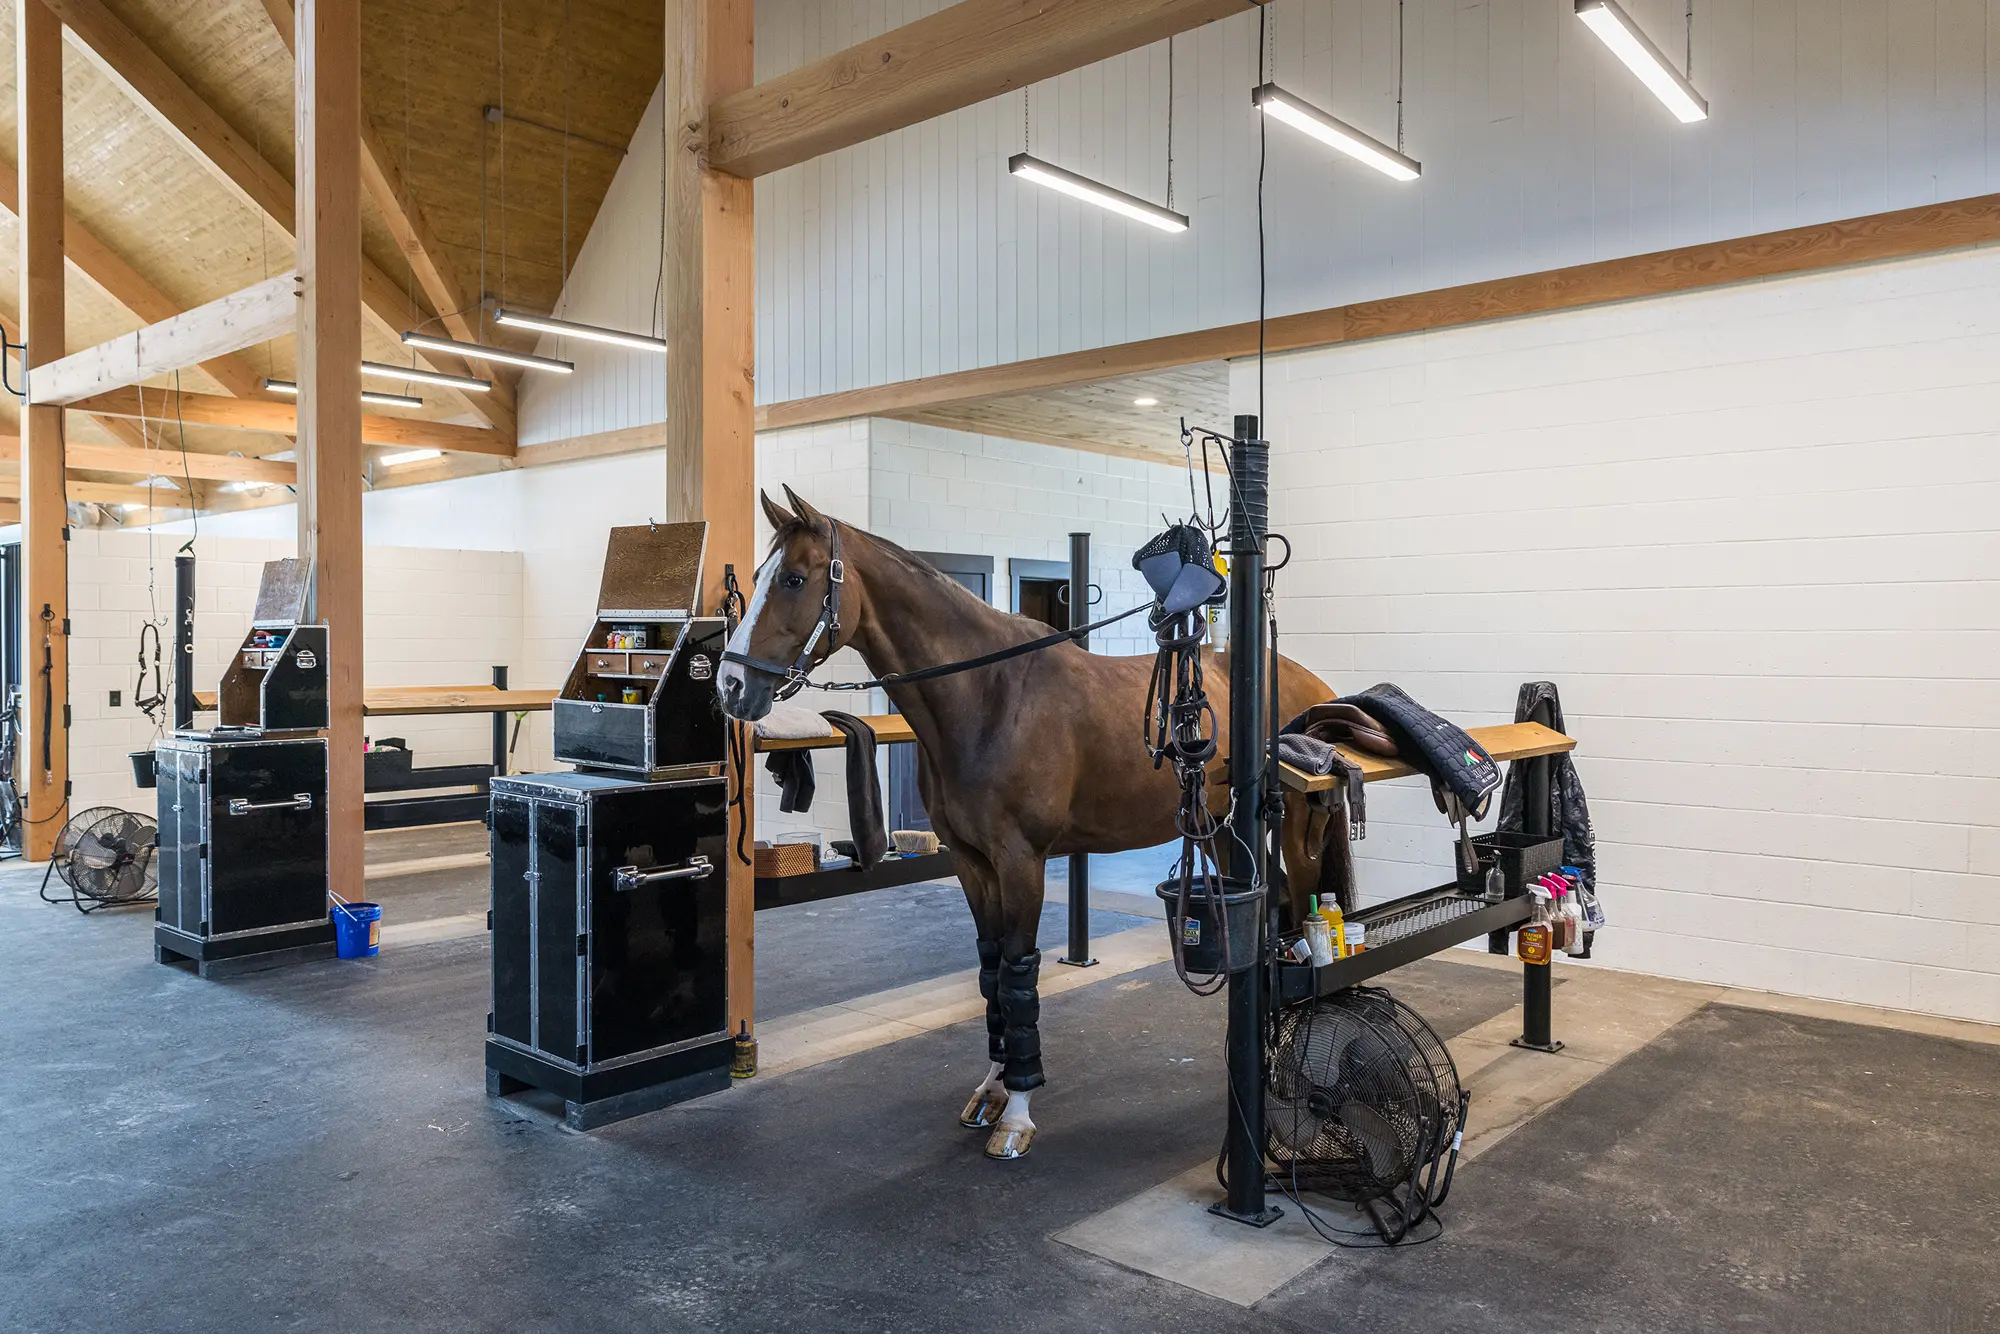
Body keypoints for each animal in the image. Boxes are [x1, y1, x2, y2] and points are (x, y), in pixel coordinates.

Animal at [716, 487, 1335, 1160]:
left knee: (1301, 915)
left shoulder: (1022, 863)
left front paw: (1016, 1112)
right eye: (757, 576)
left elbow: (1018, 975)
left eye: (795, 579)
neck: (987, 696)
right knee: (1276, 909)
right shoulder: (972, 863)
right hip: (1220, 834)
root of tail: (1307, 680)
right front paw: (990, 1090)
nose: (730, 685)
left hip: (1291, 830)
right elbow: (991, 976)